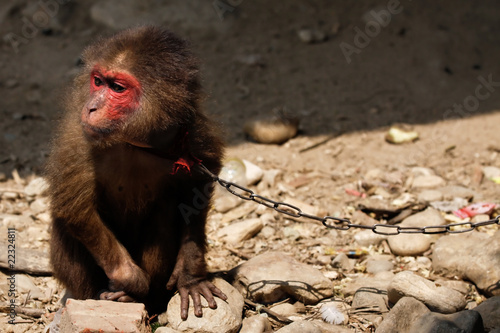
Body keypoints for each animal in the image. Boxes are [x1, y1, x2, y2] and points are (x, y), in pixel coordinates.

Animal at [47, 26, 227, 320]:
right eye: (98, 81)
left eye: (118, 88)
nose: (91, 107)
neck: (132, 139)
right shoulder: (77, 133)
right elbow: (75, 209)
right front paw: (132, 280)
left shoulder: (192, 129)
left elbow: (199, 184)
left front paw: (190, 272)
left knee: (165, 209)